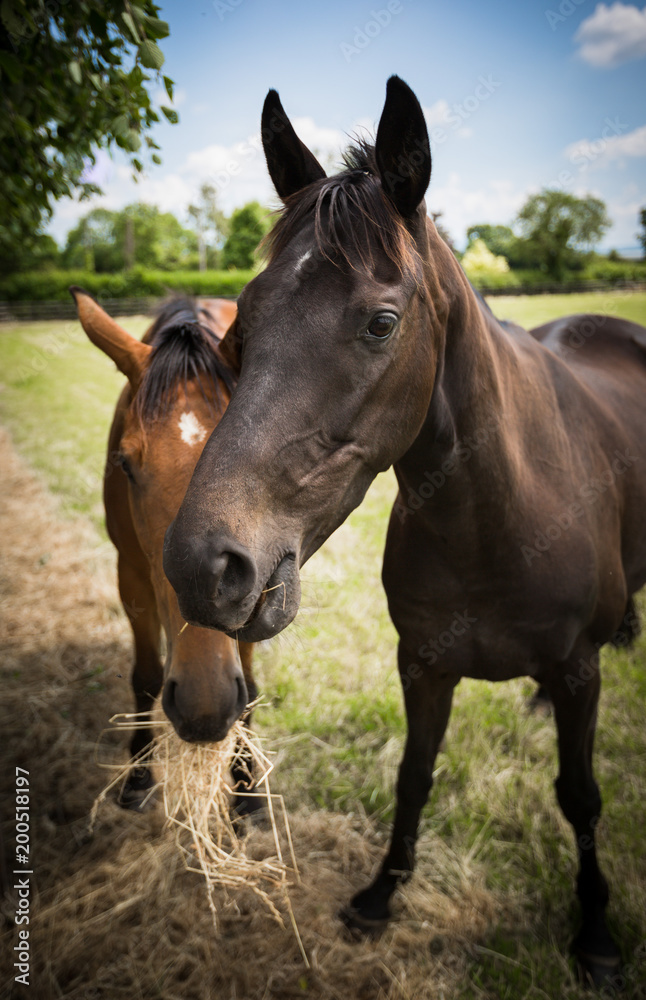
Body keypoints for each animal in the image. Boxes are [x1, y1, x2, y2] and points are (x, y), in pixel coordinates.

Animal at [71, 292, 258, 808]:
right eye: (124, 464)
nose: (204, 706)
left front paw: (247, 787)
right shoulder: (130, 575)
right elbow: (146, 676)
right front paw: (138, 774)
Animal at [162, 80, 646, 984]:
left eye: (382, 323)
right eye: (243, 322)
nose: (202, 566)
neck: (494, 523)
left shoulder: (577, 673)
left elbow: (580, 797)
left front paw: (596, 933)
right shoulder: (422, 666)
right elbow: (413, 779)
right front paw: (381, 895)